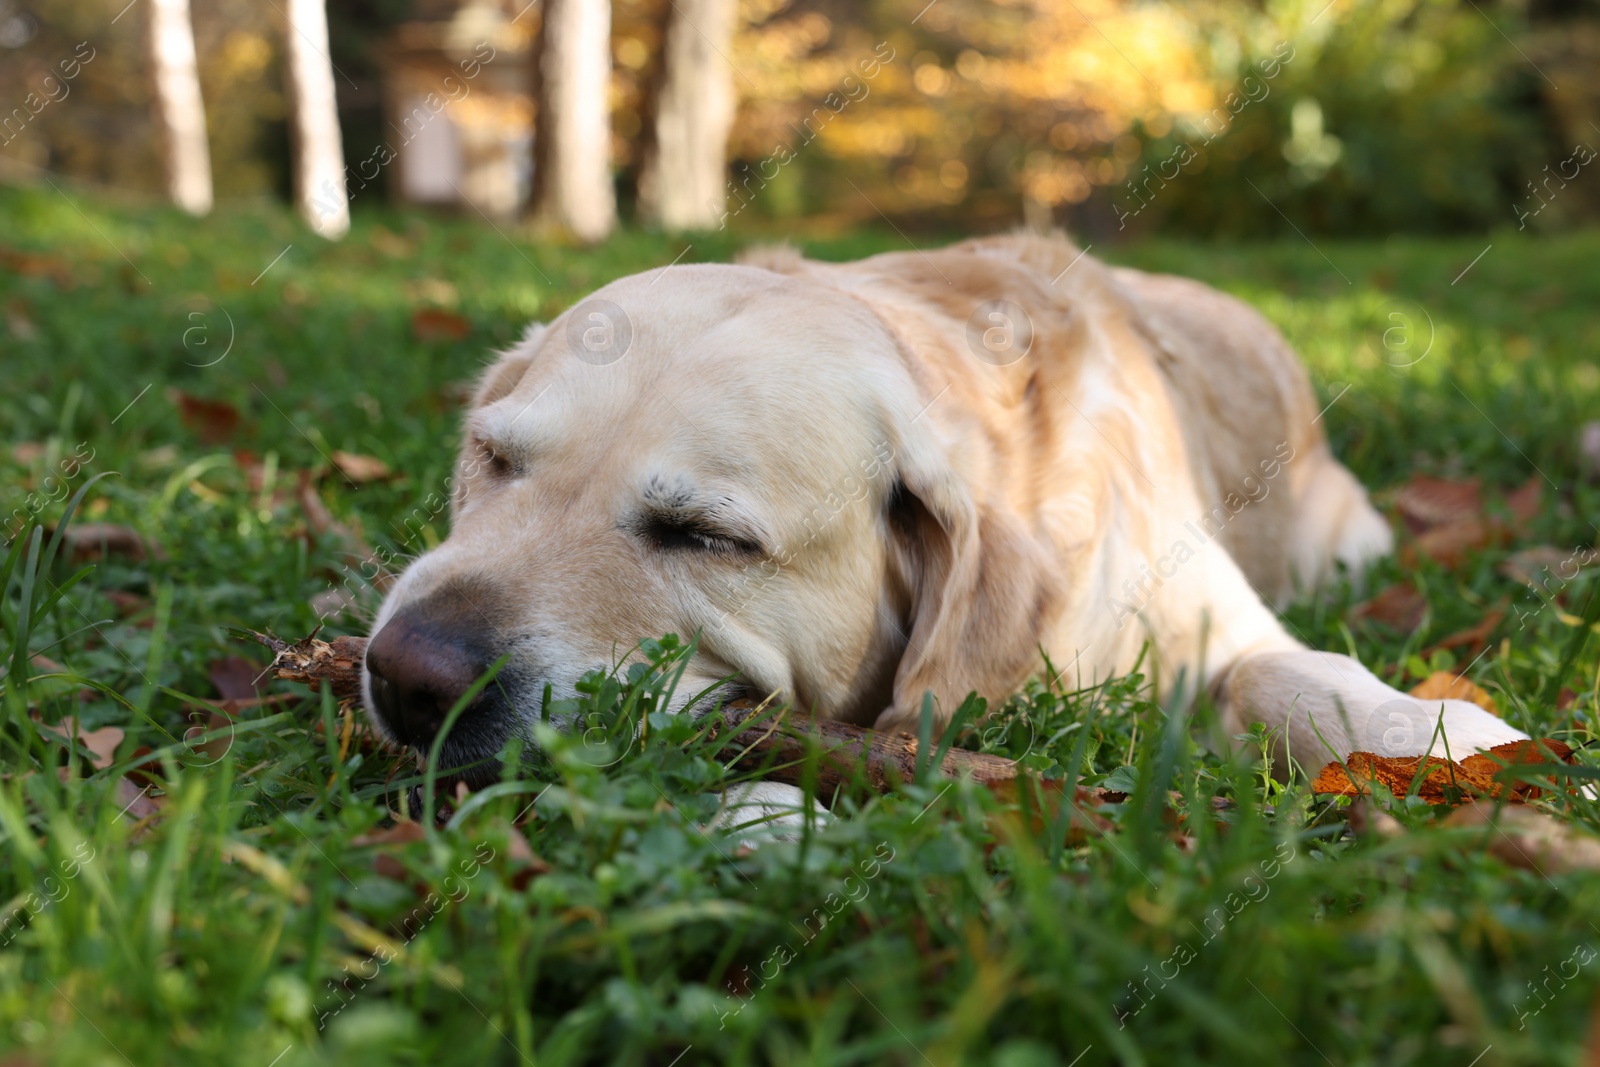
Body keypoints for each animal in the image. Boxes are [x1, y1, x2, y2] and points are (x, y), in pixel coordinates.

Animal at [363, 235, 1523, 819]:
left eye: (705, 537)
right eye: (494, 459)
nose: (408, 675)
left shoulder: (1209, 620)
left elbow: (1291, 670)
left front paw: (1432, 731)